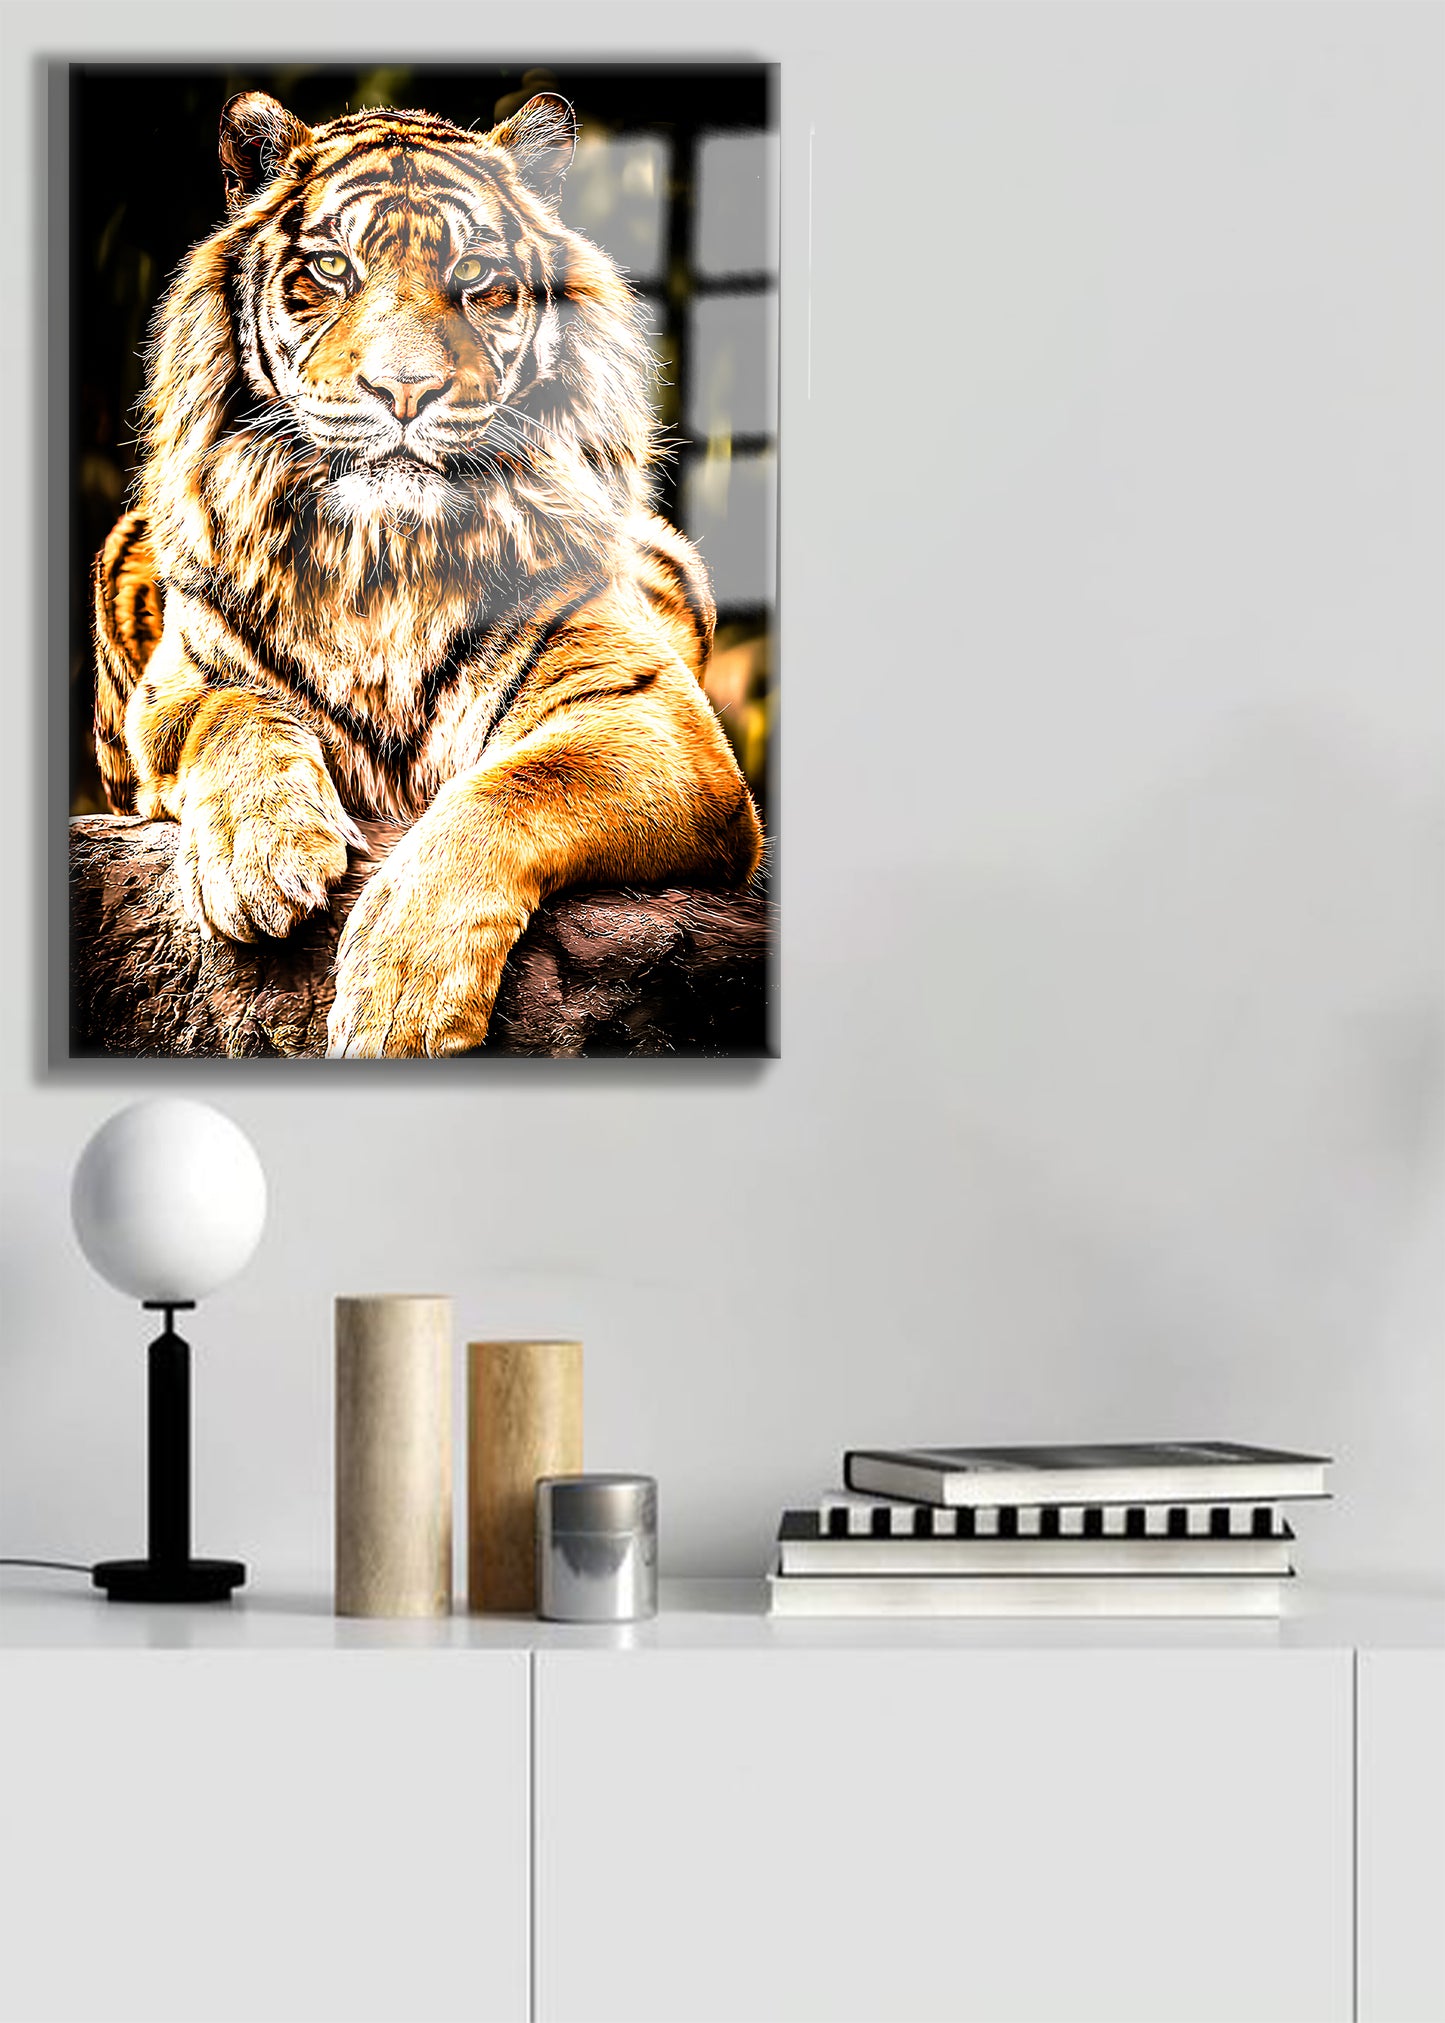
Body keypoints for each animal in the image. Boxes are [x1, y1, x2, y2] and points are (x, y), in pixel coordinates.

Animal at [92, 89, 763, 1056]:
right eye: (330, 267)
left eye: (475, 274)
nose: (404, 391)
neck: (384, 559)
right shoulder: (177, 688)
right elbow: (234, 714)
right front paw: (260, 858)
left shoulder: (652, 717)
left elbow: (513, 790)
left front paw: (399, 1001)